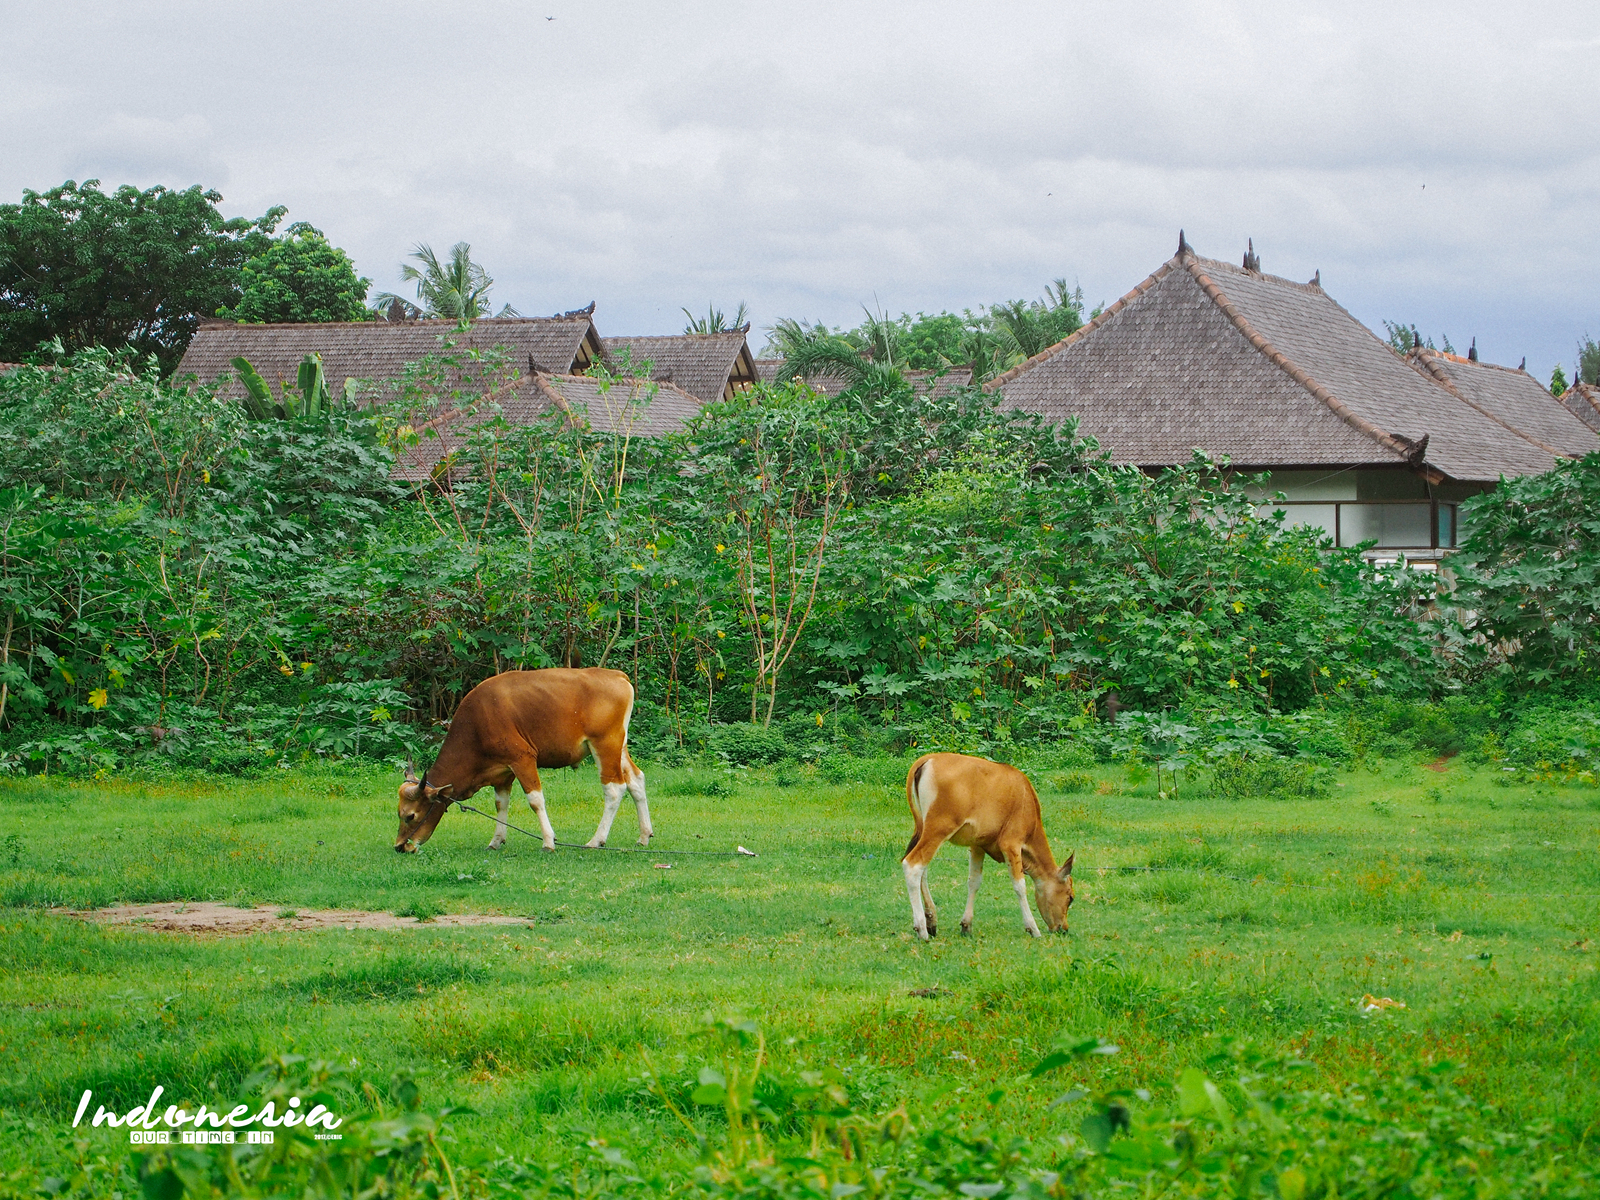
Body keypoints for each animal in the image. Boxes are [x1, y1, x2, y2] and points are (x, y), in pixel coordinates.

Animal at [393, 668, 649, 857]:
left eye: (410, 816)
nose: (400, 846)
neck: (477, 725)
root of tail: (617, 675)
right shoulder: (502, 772)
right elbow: (500, 804)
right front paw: (496, 840)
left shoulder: (523, 758)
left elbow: (535, 800)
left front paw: (548, 841)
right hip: (620, 746)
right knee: (636, 780)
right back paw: (644, 836)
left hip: (604, 744)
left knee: (614, 789)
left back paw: (597, 840)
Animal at [902, 755, 1075, 947]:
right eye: (1070, 897)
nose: (1064, 928)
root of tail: (928, 758)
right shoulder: (1011, 843)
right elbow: (1019, 885)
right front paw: (1033, 928)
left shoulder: (977, 845)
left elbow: (974, 882)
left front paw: (966, 926)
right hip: (939, 828)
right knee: (913, 865)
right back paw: (921, 929)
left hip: (923, 828)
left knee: (923, 870)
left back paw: (931, 922)